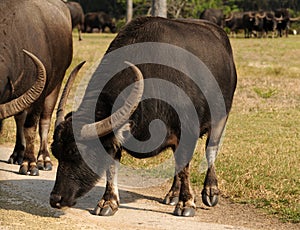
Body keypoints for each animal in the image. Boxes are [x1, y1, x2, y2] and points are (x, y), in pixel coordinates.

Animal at [0, 0, 73, 175]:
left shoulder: (40, 93)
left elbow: (31, 127)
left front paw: (30, 163)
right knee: (19, 118)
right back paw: (17, 154)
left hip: (57, 82)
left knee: (44, 120)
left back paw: (43, 159)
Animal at [49, 17, 237, 217]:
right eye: (56, 152)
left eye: (77, 153)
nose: (55, 199)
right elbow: (111, 168)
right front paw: (108, 202)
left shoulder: (187, 132)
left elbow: (185, 167)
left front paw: (186, 203)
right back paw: (172, 194)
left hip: (221, 117)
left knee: (211, 150)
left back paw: (210, 191)